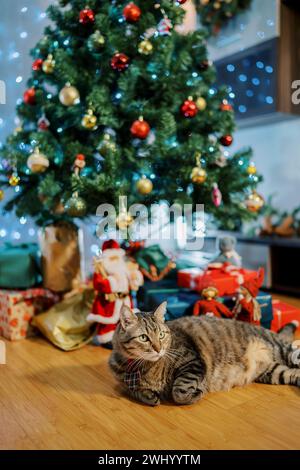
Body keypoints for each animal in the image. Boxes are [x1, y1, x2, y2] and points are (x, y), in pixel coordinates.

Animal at [109, 302, 300, 406]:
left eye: (161, 335)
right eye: (144, 337)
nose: (158, 349)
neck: (143, 368)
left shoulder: (193, 361)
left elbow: (179, 391)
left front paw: (195, 394)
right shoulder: (124, 381)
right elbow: (134, 390)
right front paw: (148, 396)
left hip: (282, 351)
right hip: (273, 372)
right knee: (294, 374)